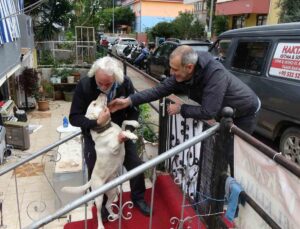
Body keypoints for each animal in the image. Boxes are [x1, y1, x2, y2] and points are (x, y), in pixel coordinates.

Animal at [62, 94, 140, 228]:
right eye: (94, 103)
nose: (101, 94)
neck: (106, 128)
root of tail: (91, 180)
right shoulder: (114, 146)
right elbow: (122, 133)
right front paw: (132, 135)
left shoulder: (120, 129)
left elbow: (124, 123)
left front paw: (135, 123)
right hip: (98, 198)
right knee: (99, 212)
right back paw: (101, 226)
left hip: (112, 191)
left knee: (108, 205)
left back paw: (114, 215)